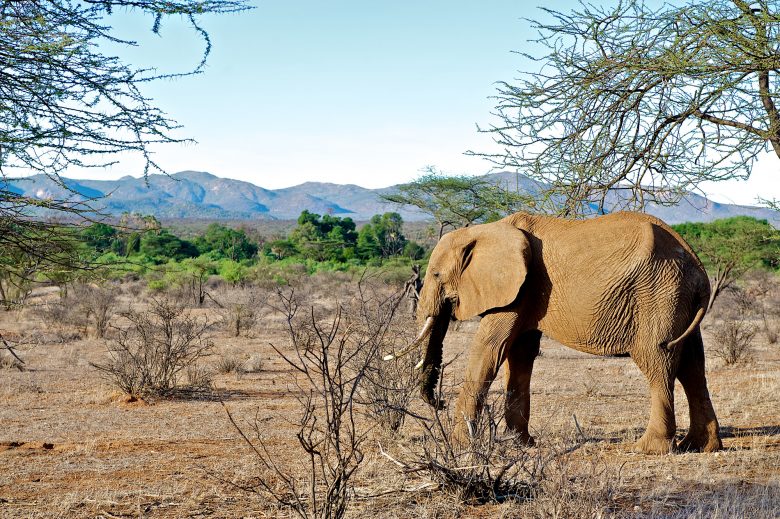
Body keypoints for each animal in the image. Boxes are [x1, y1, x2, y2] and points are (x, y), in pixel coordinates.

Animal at [386, 211, 724, 456]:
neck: (487, 230)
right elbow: (520, 355)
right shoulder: (527, 292)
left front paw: (458, 446)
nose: (438, 403)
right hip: (678, 299)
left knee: (658, 362)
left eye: (436, 274)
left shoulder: (519, 289)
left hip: (658, 296)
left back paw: (648, 449)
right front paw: (519, 444)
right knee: (693, 367)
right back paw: (700, 447)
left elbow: (489, 349)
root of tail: (699, 268)